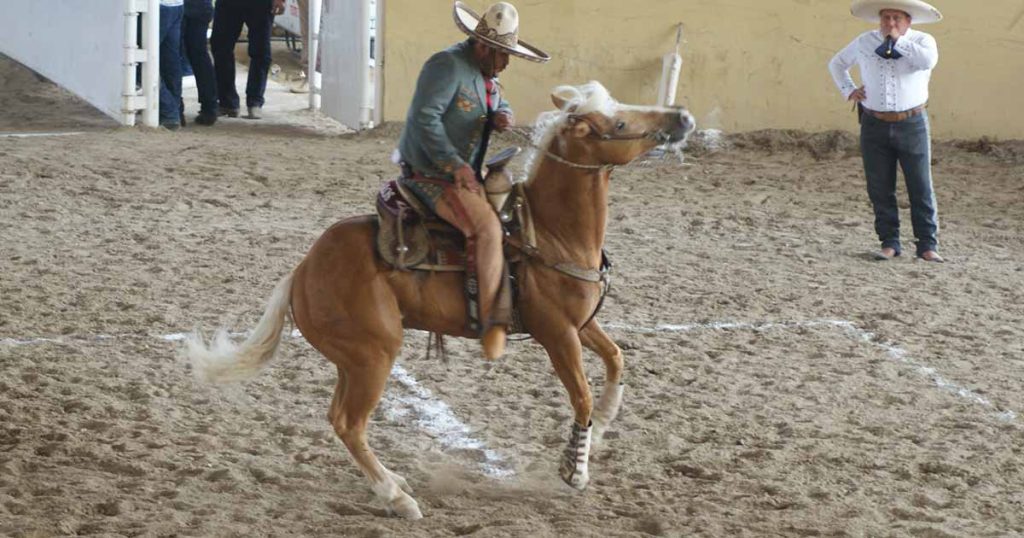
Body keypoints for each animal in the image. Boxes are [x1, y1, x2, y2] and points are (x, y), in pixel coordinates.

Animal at [184, 81, 696, 518]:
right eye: (620, 124)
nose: (683, 116)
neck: (551, 235)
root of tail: (302, 271)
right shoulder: (557, 334)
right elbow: (582, 396)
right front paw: (575, 470)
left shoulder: (582, 324)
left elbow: (615, 359)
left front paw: (605, 423)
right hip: (374, 354)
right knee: (349, 423)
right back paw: (398, 498)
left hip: (353, 359)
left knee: (340, 418)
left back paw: (394, 482)